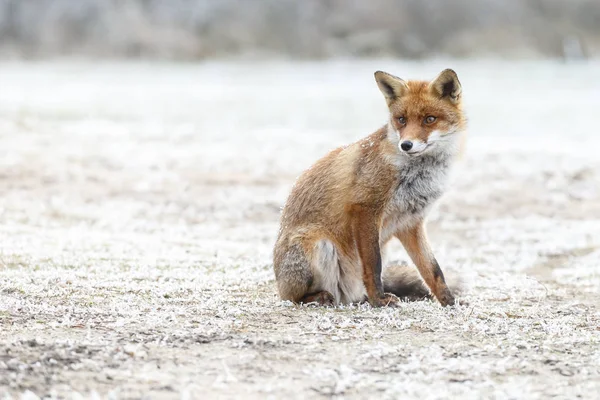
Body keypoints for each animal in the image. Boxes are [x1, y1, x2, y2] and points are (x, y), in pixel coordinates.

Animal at [272, 68, 464, 306]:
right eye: (401, 120)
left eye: (429, 119)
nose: (406, 145)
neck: (418, 174)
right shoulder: (365, 209)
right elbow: (374, 265)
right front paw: (379, 300)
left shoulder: (410, 223)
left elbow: (433, 270)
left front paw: (450, 302)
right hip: (317, 244)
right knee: (292, 297)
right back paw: (320, 296)